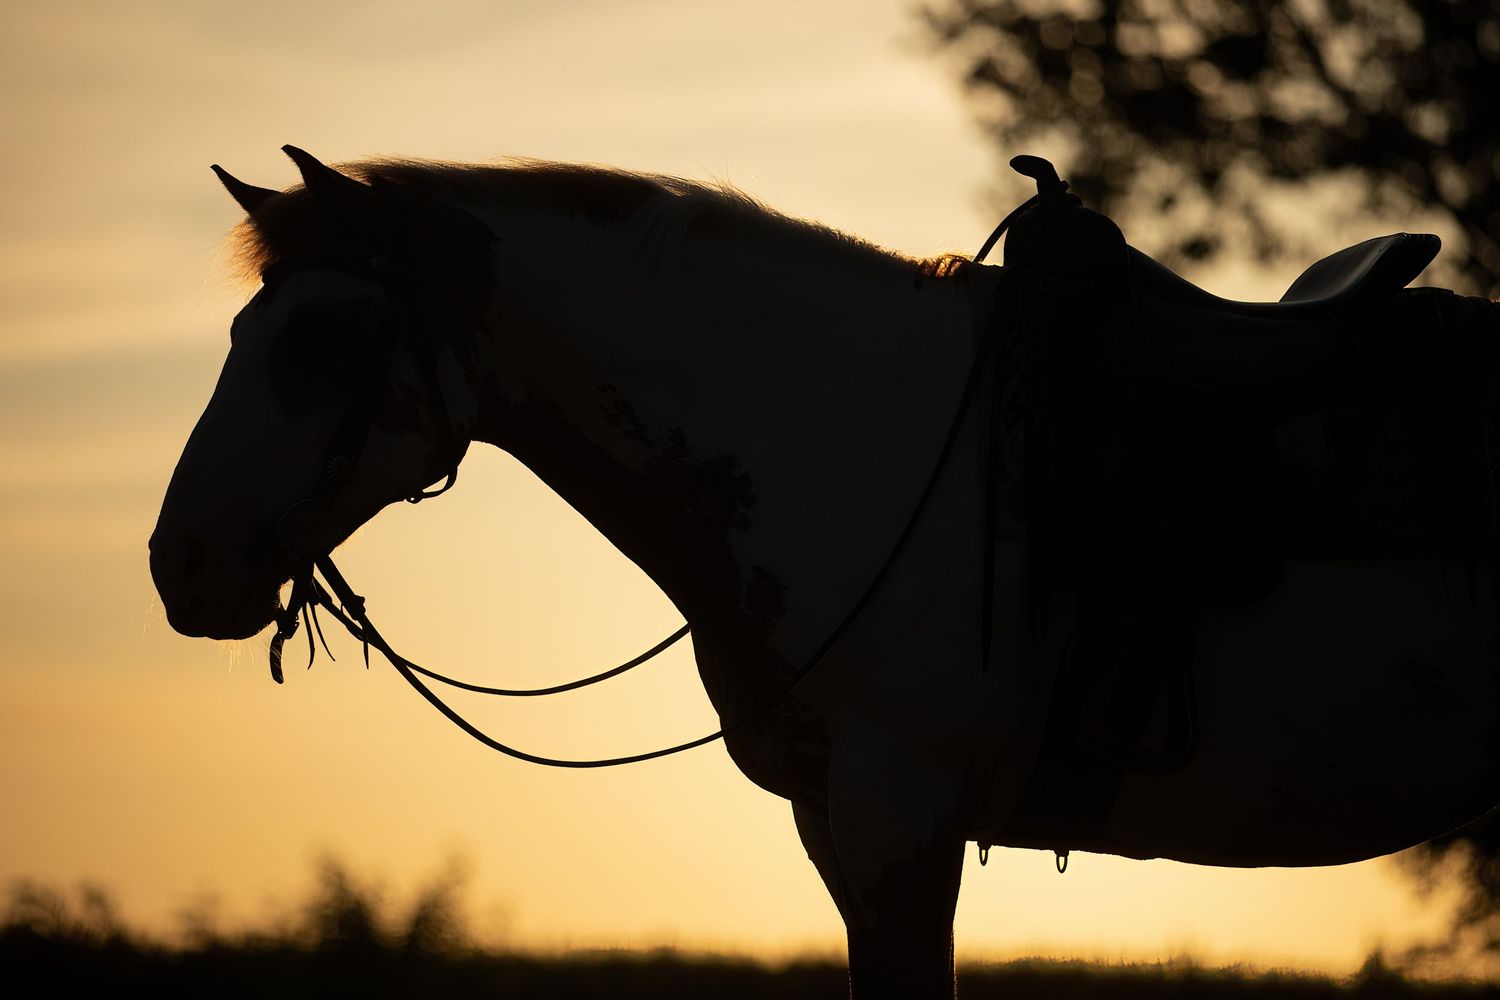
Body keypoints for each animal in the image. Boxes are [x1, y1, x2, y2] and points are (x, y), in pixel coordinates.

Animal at [150, 145, 1500, 998]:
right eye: (244, 326)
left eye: (321, 334)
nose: (180, 564)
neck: (847, 437)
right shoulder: (836, 831)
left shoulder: (905, 819)